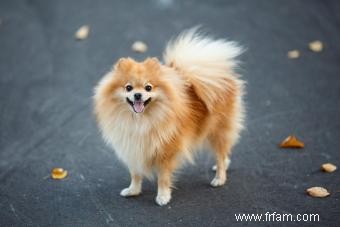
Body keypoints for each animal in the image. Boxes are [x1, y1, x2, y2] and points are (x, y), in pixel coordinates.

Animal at [94, 27, 246, 206]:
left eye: (148, 87)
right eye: (128, 87)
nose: (138, 95)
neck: (140, 121)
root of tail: (223, 76)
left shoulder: (166, 152)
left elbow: (163, 178)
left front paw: (163, 197)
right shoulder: (134, 149)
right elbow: (135, 174)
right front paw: (133, 191)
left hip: (217, 131)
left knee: (220, 155)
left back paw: (219, 178)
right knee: (224, 153)